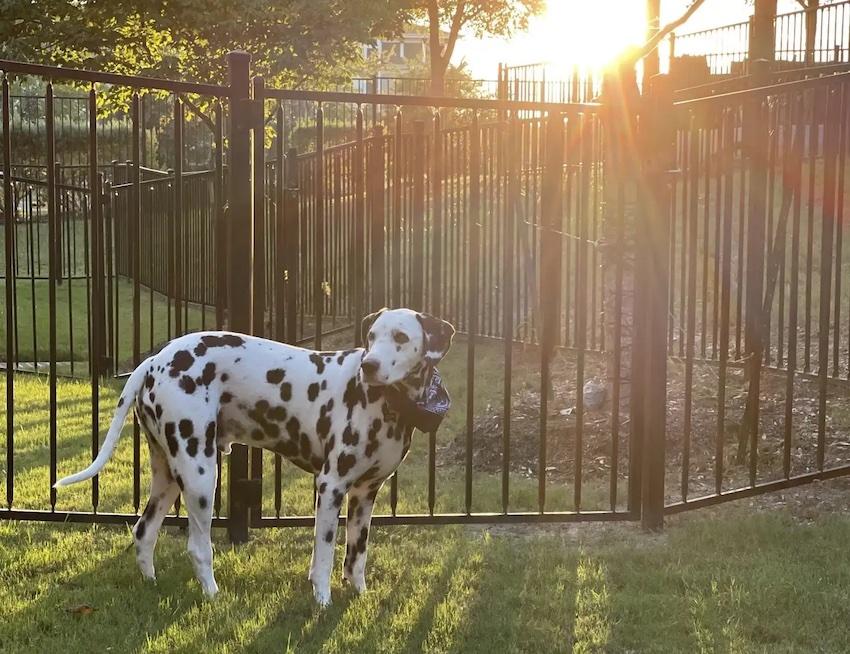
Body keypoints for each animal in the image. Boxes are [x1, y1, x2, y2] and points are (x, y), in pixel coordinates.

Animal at [53, 310, 454, 608]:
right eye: (372, 336)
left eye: (399, 337)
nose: (369, 365)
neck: (389, 403)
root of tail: (153, 360)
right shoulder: (331, 488)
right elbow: (324, 556)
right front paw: (322, 602)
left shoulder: (364, 496)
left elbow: (356, 557)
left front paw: (358, 594)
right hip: (200, 476)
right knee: (198, 547)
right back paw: (213, 595)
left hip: (167, 479)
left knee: (143, 531)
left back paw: (151, 584)